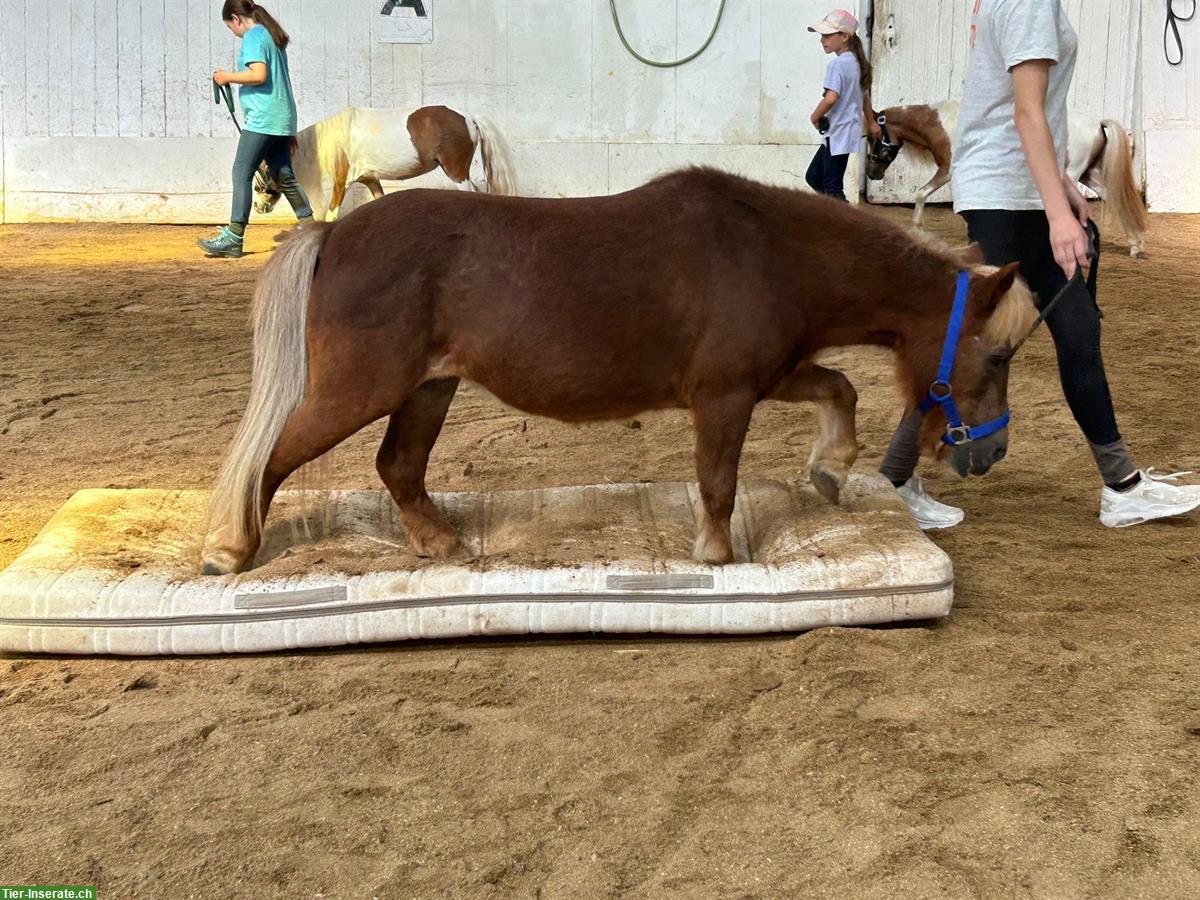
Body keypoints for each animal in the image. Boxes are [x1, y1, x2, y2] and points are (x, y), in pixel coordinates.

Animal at [201, 170, 1036, 578]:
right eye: (997, 355)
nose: (992, 451)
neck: (768, 251)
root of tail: (335, 232)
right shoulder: (724, 396)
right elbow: (718, 482)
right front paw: (715, 554)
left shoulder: (767, 376)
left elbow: (841, 388)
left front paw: (829, 469)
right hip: (360, 391)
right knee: (272, 458)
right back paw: (231, 551)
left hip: (427, 389)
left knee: (397, 468)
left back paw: (443, 547)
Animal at [253, 105, 516, 222]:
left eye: (258, 183)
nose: (258, 207)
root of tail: (469, 117)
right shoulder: (370, 179)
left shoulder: (342, 182)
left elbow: (331, 214)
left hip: (457, 172)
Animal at [868, 99, 1147, 256]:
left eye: (872, 137)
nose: (872, 173)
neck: (943, 123)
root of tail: (1097, 124)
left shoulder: (948, 170)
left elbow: (921, 193)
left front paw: (916, 229)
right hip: (1090, 175)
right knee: (1115, 199)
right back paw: (1135, 245)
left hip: (1070, 175)